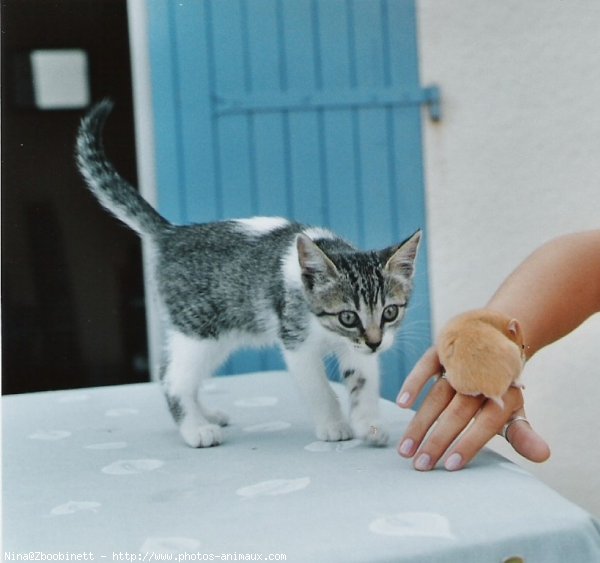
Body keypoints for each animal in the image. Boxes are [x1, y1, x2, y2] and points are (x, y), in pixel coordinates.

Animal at [76, 100, 422, 450]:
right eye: (348, 317)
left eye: (390, 312)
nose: (376, 342)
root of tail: (172, 233)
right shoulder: (296, 341)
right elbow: (318, 388)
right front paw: (333, 424)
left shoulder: (357, 349)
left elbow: (362, 381)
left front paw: (369, 425)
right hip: (198, 331)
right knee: (171, 377)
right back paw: (196, 428)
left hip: (217, 335)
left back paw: (207, 414)